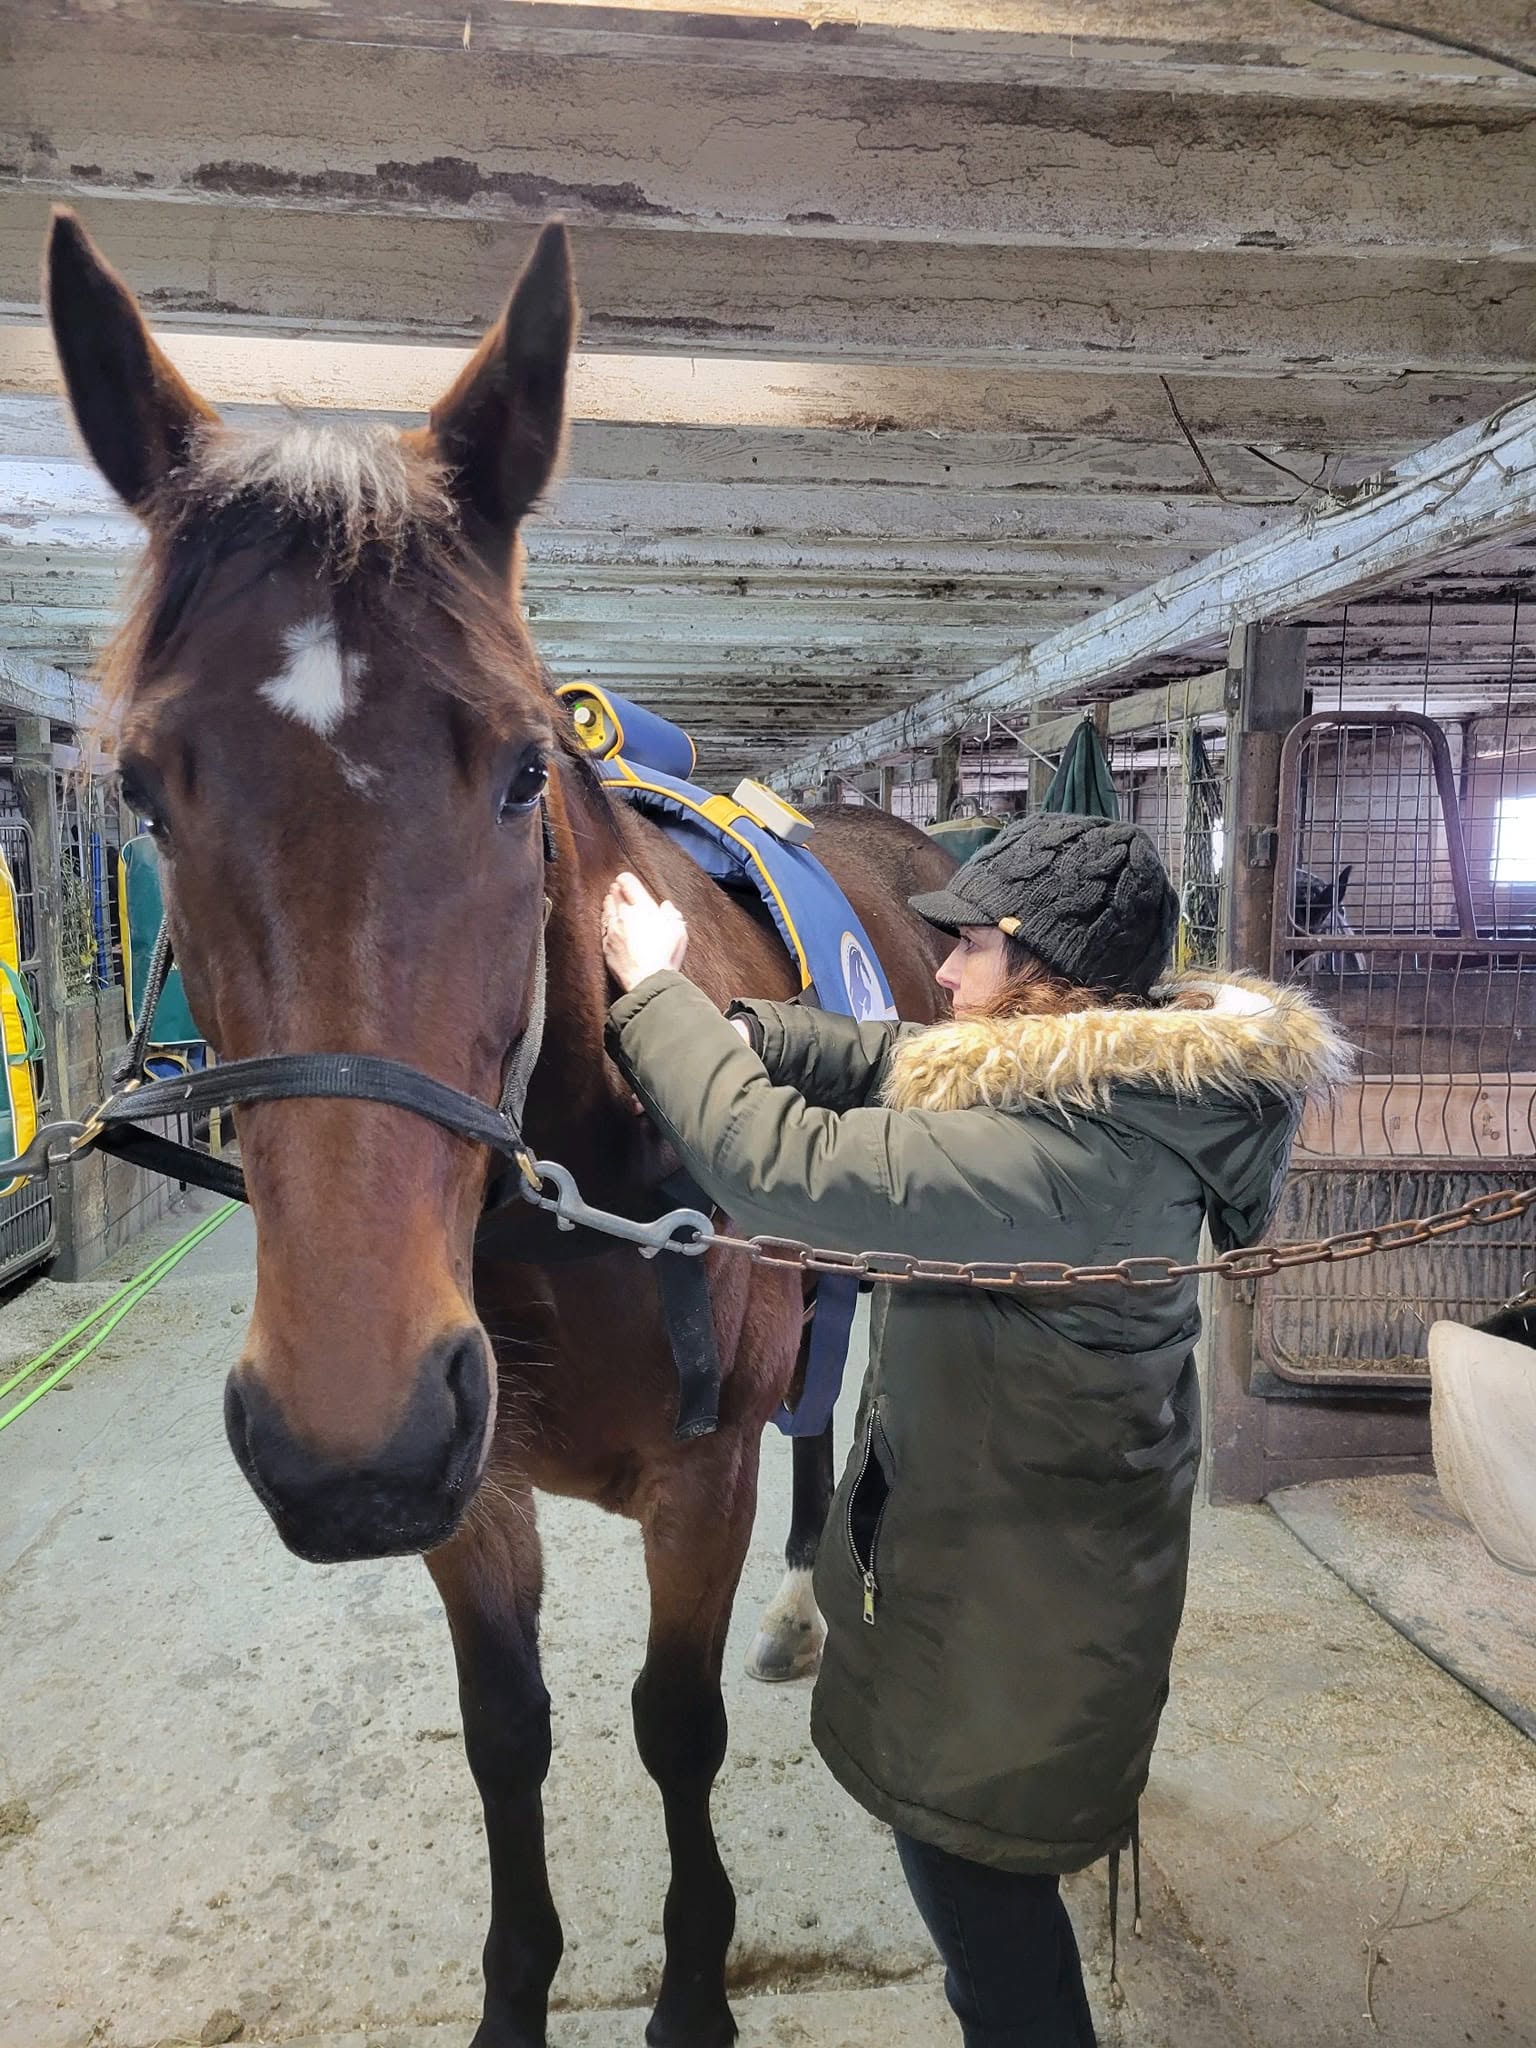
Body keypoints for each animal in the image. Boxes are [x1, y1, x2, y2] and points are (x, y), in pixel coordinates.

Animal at [45, 210, 956, 2048]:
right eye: (146, 788)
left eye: (526, 768)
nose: (347, 1439)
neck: (568, 1188)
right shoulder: (467, 1492)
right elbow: (507, 1735)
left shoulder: (694, 1481)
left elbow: (672, 1725)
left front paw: (694, 1991)